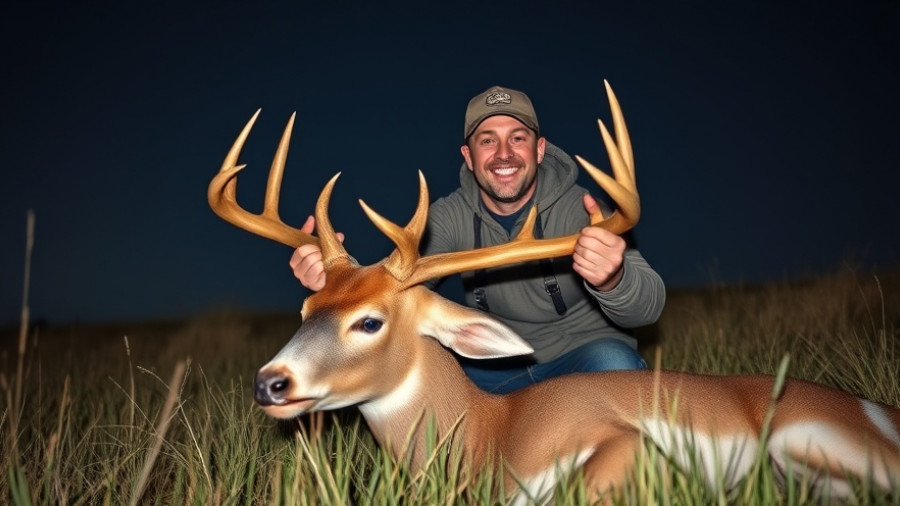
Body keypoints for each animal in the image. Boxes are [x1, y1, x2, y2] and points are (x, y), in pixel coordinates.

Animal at [208, 82, 900, 504]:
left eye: (370, 321)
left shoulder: (615, 442)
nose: (270, 383)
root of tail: (879, 411)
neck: (488, 437)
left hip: (814, 439)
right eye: (306, 307)